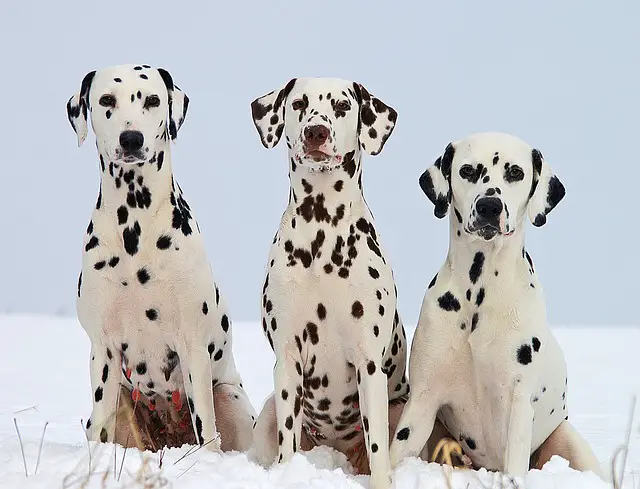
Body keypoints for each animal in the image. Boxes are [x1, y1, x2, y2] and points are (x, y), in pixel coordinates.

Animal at [65, 63, 255, 452]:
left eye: (152, 100)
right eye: (106, 100)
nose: (131, 139)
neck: (134, 230)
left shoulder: (193, 347)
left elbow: (206, 429)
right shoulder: (103, 350)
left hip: (230, 398)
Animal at [250, 78, 410, 488]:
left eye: (341, 106)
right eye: (299, 104)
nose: (316, 132)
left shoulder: (369, 364)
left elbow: (377, 448)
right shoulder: (288, 360)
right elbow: (288, 439)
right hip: (268, 414)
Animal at [388, 132, 604, 478]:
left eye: (515, 172)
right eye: (467, 171)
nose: (489, 206)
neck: (479, 290)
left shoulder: (518, 403)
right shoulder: (422, 400)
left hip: (569, 443)